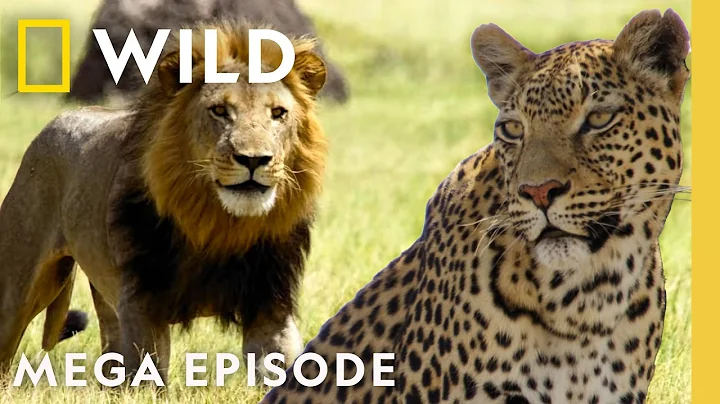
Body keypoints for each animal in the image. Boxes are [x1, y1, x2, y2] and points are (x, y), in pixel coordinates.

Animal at [0, 20, 328, 384]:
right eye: (219, 111)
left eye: (278, 113)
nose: (254, 159)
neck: (220, 224)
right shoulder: (142, 303)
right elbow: (149, 377)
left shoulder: (270, 306)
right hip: (18, 290)